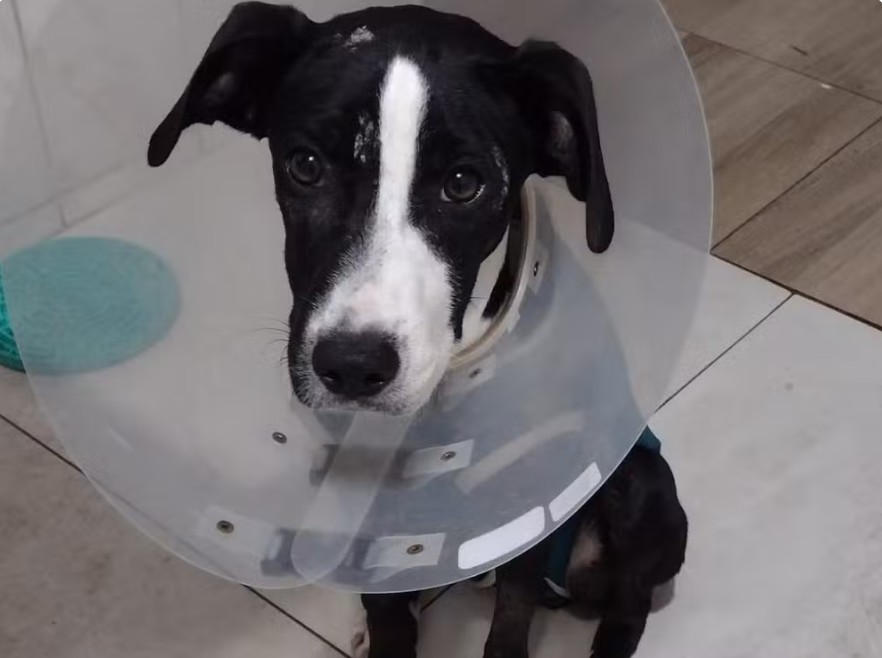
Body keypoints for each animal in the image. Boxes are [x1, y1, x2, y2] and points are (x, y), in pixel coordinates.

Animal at [149, 4, 686, 657]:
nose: (353, 367)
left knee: (628, 604)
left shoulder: (534, 489)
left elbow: (512, 615)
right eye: (305, 166)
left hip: (644, 488)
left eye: (463, 183)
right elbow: (386, 607)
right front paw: (380, 629)